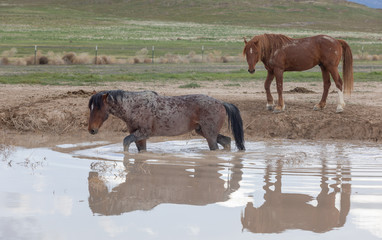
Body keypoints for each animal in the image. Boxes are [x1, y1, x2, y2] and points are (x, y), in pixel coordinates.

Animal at [88, 90, 246, 152]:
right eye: (91, 108)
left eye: (98, 108)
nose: (91, 129)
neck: (133, 106)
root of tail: (221, 102)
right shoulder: (140, 137)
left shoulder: (143, 133)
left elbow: (125, 141)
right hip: (203, 132)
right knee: (227, 141)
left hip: (210, 135)